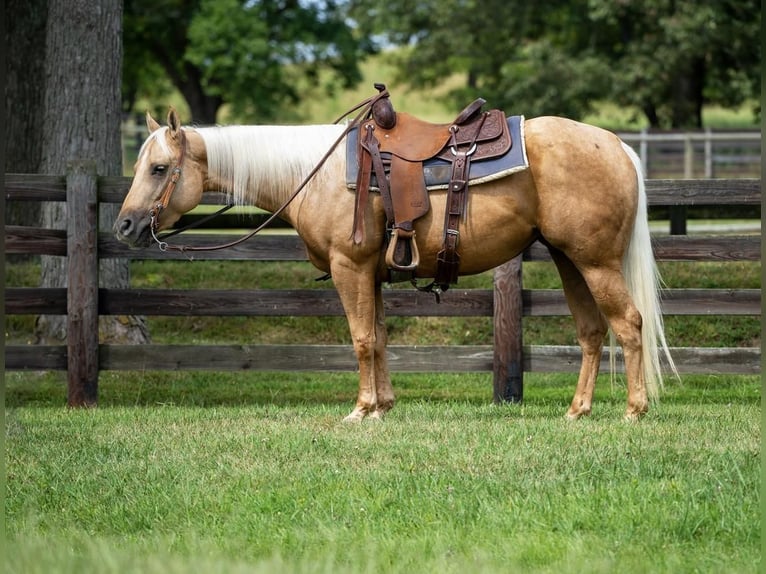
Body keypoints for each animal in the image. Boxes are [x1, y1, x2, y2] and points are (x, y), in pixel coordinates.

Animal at [115, 107, 680, 424]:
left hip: (596, 263)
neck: (313, 175)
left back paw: (633, 411)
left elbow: (362, 338)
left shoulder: (350, 267)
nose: (123, 226)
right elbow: (381, 338)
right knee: (591, 332)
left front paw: (361, 409)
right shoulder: (372, 273)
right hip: (569, 261)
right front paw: (384, 405)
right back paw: (577, 410)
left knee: (629, 325)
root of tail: (617, 146)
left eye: (159, 168)